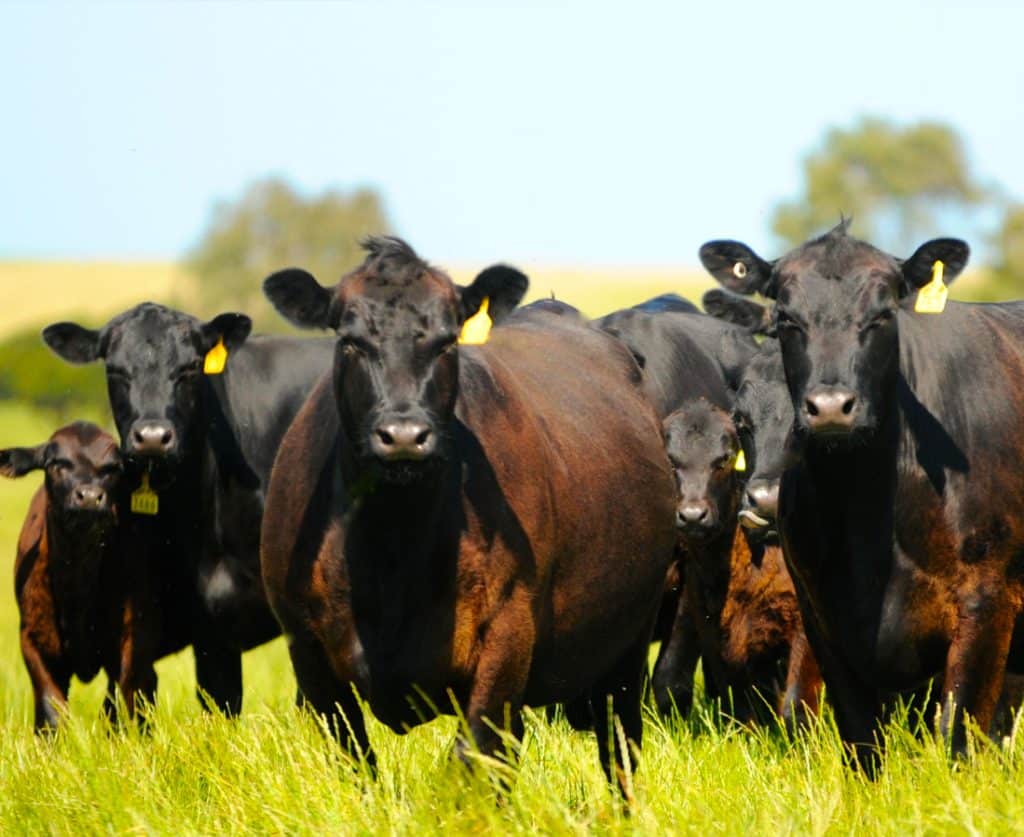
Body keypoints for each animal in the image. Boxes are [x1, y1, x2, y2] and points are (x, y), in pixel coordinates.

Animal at [700, 220, 1024, 762]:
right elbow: (856, 741)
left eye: (883, 314)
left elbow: (956, 737)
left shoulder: (988, 602)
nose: (830, 406)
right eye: (786, 318)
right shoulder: (823, 617)